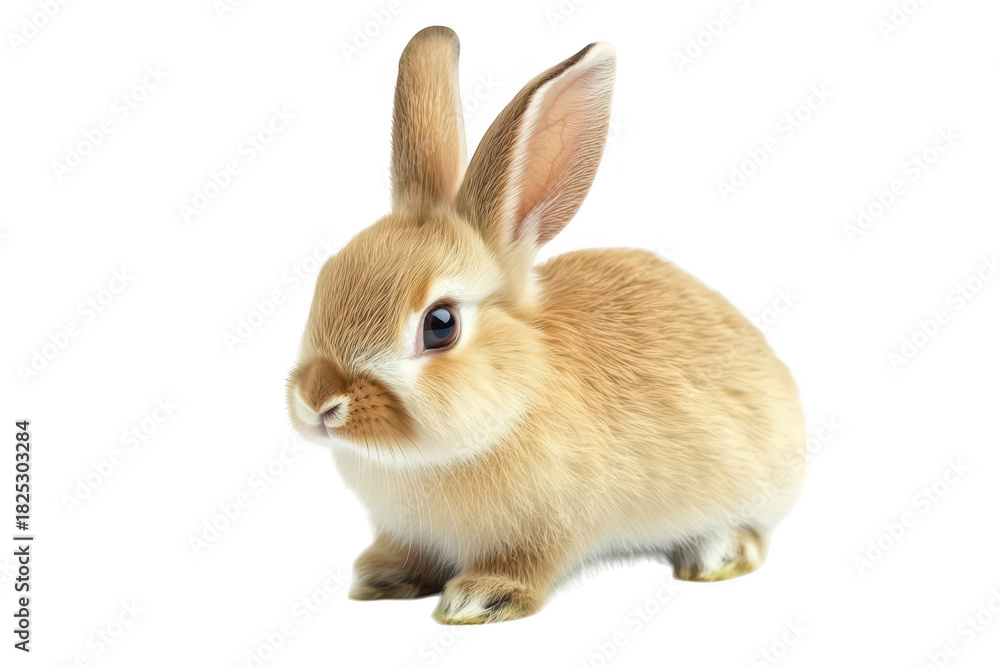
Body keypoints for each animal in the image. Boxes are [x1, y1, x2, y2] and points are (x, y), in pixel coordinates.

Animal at [287, 26, 806, 625]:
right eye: (326, 276)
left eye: (440, 325)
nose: (317, 401)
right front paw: (380, 577)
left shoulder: (553, 525)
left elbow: (527, 563)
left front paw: (478, 598)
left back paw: (718, 553)